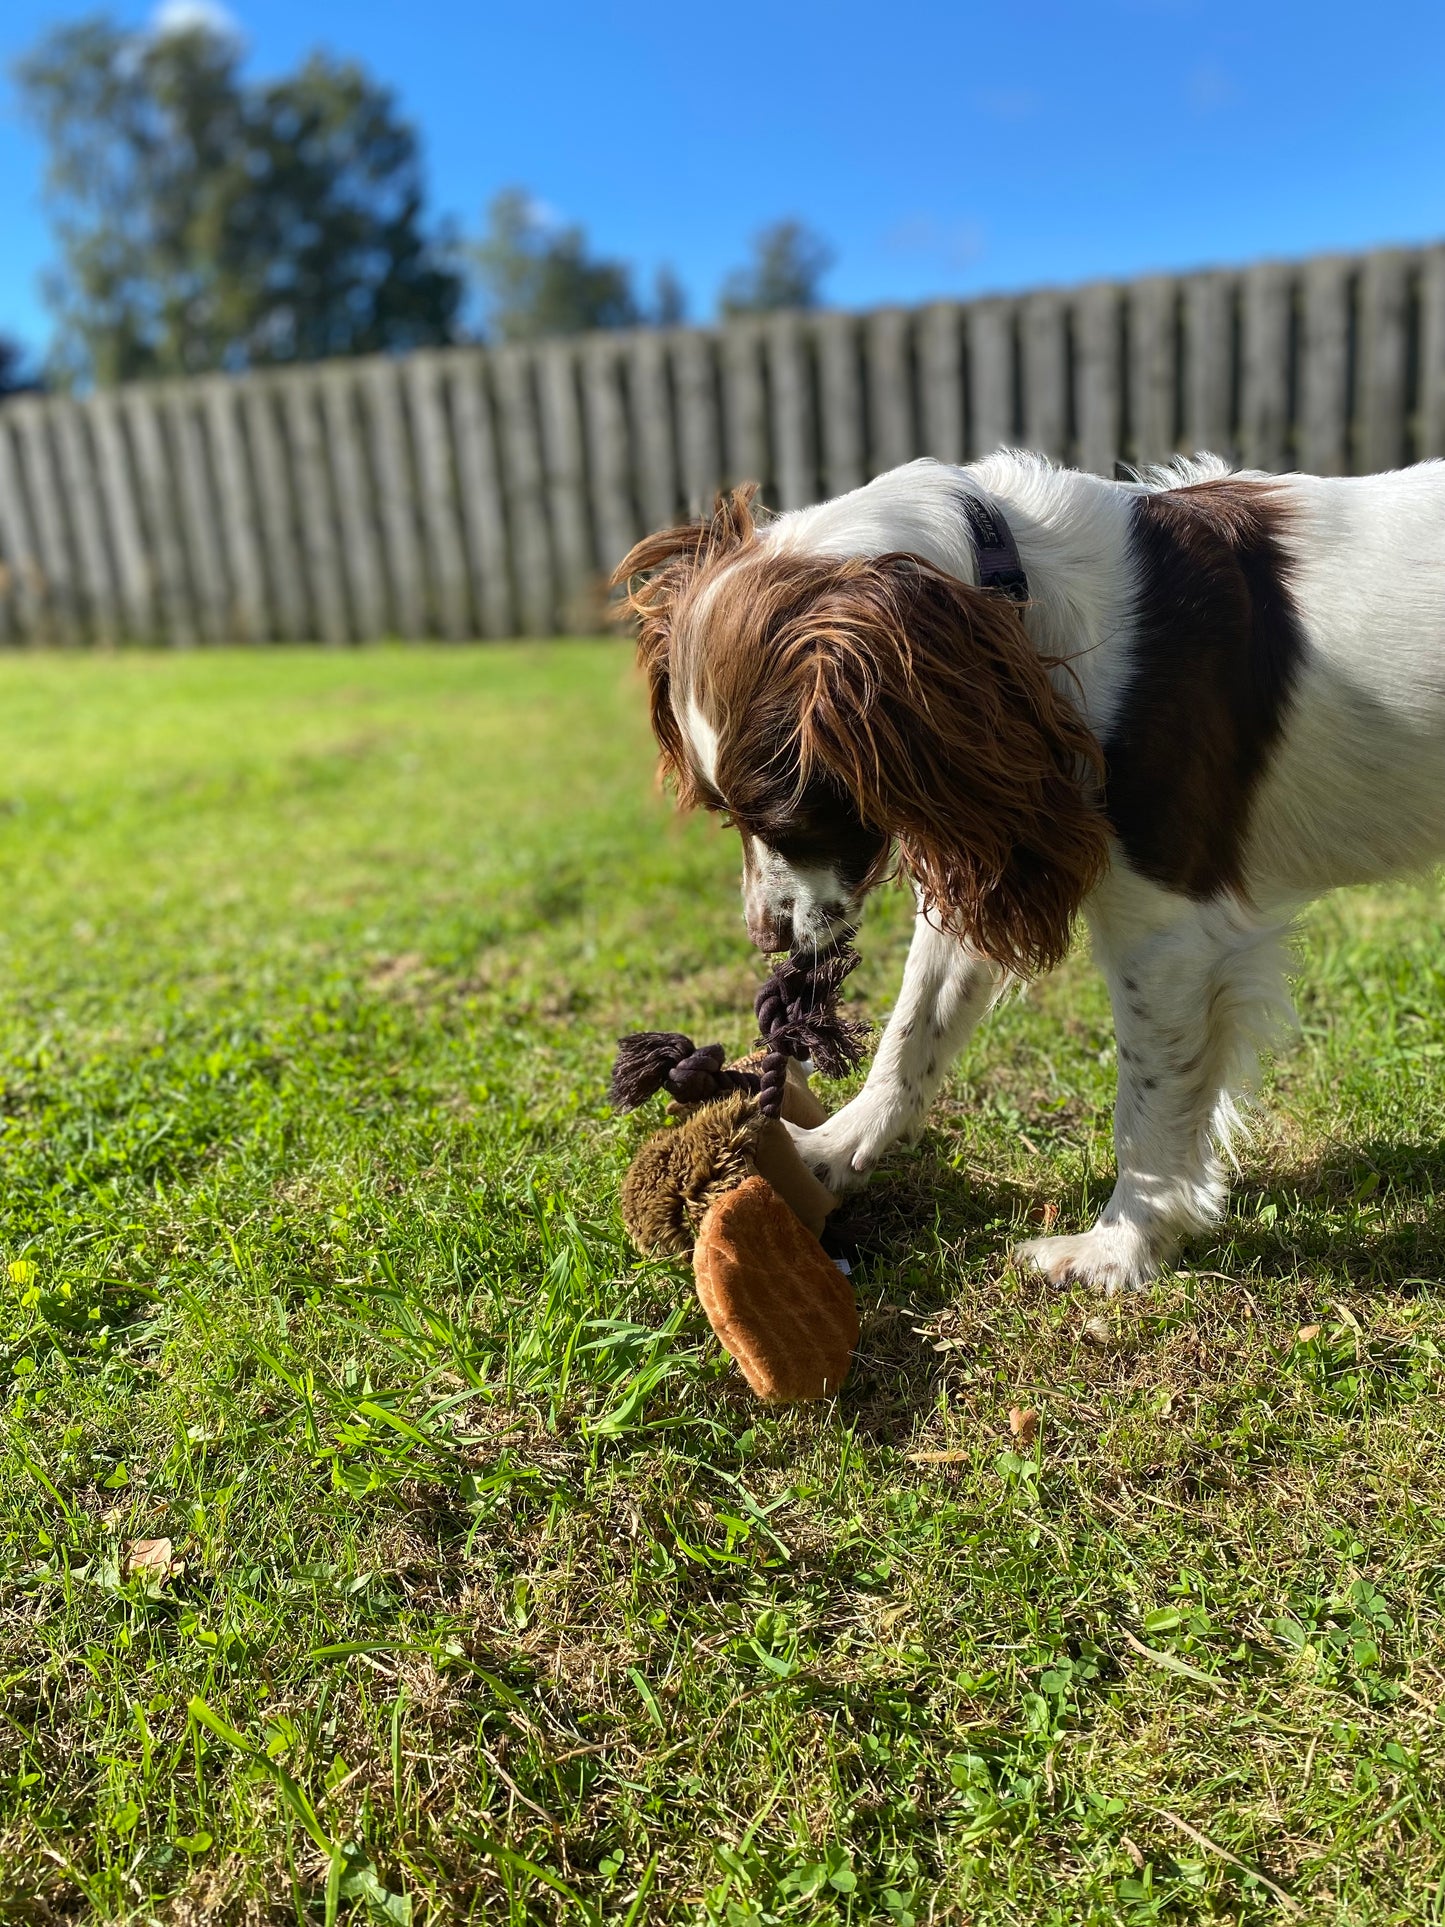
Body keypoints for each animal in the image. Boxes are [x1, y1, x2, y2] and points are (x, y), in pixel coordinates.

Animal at [612, 450, 1445, 1287]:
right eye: (724, 816)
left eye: (783, 816)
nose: (766, 938)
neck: (1020, 603)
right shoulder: (992, 839)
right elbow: (911, 1031)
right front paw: (829, 1152)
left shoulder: (1167, 930)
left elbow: (1147, 1108)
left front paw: (1116, 1251)